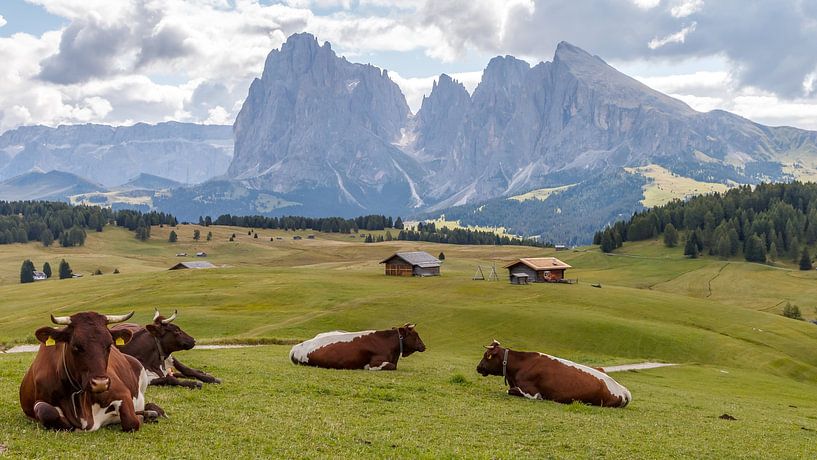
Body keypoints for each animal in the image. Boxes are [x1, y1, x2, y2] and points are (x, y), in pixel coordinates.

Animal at [19, 310, 165, 434]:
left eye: (109, 345)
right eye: (76, 346)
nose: (100, 383)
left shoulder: (121, 392)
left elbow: (132, 421)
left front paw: (142, 416)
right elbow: (45, 411)